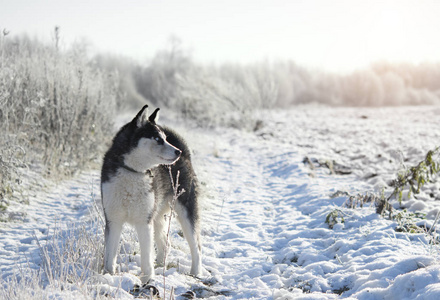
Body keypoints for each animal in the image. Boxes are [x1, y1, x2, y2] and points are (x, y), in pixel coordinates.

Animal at [100, 105, 202, 282]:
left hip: (185, 212)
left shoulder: (144, 221)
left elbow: (146, 255)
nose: (177, 152)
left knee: (196, 246)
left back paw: (195, 272)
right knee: (165, 243)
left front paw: (147, 279)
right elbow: (110, 255)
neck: (133, 172)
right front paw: (108, 276)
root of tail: (186, 156)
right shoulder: (113, 219)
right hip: (157, 215)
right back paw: (161, 264)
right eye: (157, 139)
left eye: (165, 138)